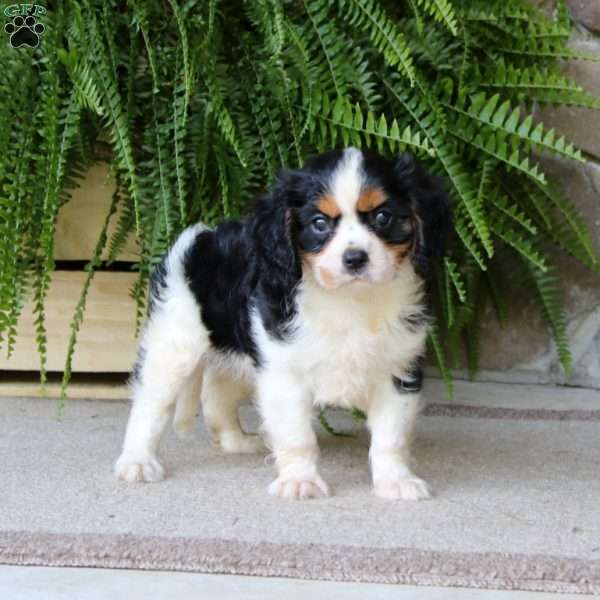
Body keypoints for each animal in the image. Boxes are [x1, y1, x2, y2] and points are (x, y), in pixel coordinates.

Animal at [113, 148, 450, 500]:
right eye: (319, 224)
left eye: (383, 217)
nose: (355, 258)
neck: (349, 300)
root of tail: (200, 238)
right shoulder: (284, 372)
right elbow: (297, 436)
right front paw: (300, 481)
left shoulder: (397, 369)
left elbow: (391, 438)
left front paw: (395, 481)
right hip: (174, 343)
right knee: (151, 404)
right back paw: (137, 461)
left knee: (217, 394)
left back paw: (236, 441)